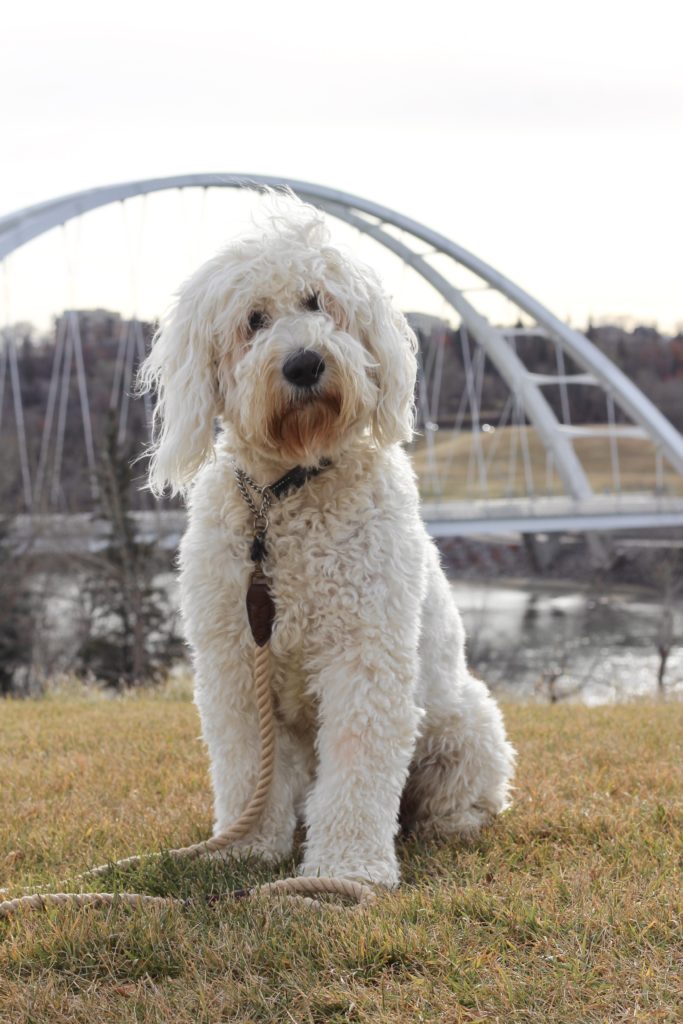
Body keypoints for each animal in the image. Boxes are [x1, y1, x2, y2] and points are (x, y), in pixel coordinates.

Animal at [141, 195, 516, 884]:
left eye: (319, 302)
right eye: (254, 320)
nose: (305, 363)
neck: (284, 496)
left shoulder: (362, 657)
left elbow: (358, 771)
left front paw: (345, 872)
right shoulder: (235, 663)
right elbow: (247, 769)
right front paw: (246, 847)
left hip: (466, 720)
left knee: (462, 792)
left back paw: (448, 823)